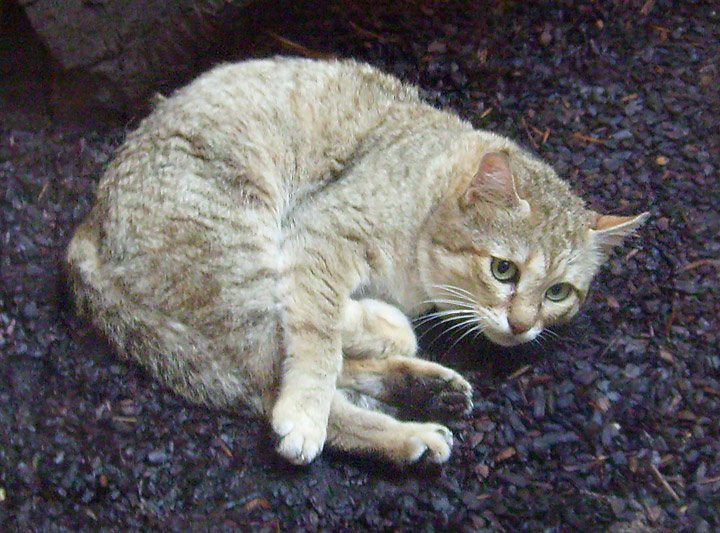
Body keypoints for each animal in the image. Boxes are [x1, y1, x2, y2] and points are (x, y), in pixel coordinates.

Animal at [66, 58, 648, 464]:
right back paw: (399, 427)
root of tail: (88, 226)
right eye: (503, 269)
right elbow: (317, 340)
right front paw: (313, 397)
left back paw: (424, 388)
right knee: (276, 383)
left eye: (558, 293)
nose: (523, 326)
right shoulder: (319, 236)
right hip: (236, 254)